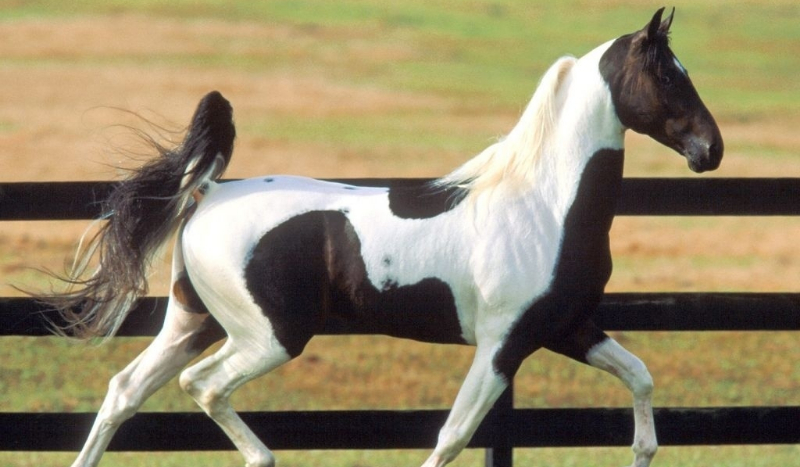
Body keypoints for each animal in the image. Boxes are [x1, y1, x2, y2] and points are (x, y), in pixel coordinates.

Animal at [44, 8, 722, 467]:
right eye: (667, 77)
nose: (710, 150)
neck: (545, 206)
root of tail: (207, 193)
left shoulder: (567, 328)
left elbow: (640, 377)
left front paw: (641, 451)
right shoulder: (503, 344)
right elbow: (452, 436)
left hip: (194, 323)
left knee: (124, 391)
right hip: (269, 336)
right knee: (202, 387)